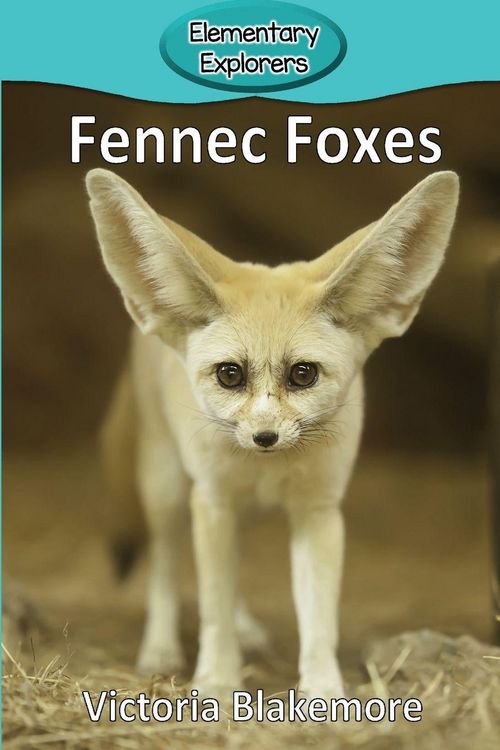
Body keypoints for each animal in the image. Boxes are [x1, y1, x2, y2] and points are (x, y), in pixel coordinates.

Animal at [86, 168, 459, 699]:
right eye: (230, 375)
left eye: (303, 374)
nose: (264, 437)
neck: (267, 470)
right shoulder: (213, 500)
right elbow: (213, 607)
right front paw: (216, 682)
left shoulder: (318, 511)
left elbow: (318, 620)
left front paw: (324, 691)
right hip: (168, 489)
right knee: (163, 562)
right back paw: (160, 647)